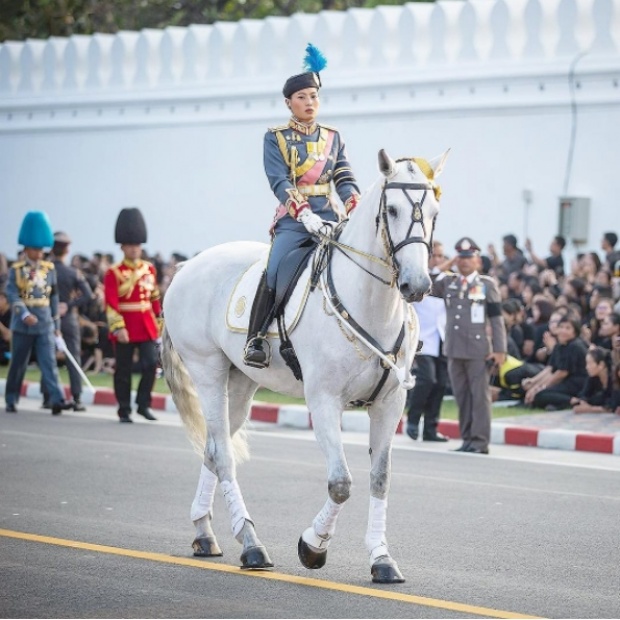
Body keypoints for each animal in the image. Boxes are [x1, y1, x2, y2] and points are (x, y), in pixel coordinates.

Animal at [162, 148, 448, 584]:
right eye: (393, 209)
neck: (370, 302)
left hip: (241, 382)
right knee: (224, 454)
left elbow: (380, 479)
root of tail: (184, 267)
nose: (417, 285)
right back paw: (251, 545)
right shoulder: (324, 400)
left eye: (434, 212)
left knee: (213, 448)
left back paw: (205, 533)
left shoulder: (391, 403)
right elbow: (341, 483)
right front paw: (313, 546)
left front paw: (381, 559)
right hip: (208, 370)